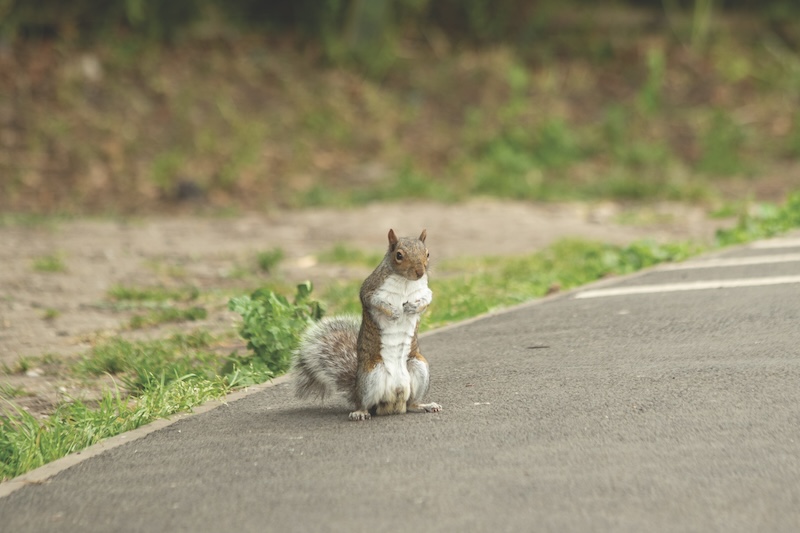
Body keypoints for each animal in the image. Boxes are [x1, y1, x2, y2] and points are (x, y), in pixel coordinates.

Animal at [293, 229, 442, 421]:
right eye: (399, 255)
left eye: (427, 253)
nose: (420, 272)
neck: (405, 281)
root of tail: (396, 401)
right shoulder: (370, 289)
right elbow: (374, 302)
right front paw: (393, 312)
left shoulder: (424, 290)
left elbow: (426, 300)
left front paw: (413, 307)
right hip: (372, 375)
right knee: (366, 404)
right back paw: (360, 412)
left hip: (418, 366)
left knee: (412, 404)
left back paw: (426, 405)